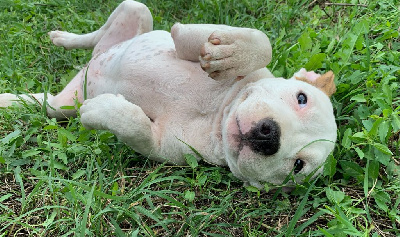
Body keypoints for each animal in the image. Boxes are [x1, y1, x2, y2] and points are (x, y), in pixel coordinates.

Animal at [0, 0, 338, 189]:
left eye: (297, 166)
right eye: (301, 98)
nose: (269, 135)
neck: (217, 113)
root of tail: (89, 67)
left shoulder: (162, 147)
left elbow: (136, 128)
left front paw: (101, 111)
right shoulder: (190, 42)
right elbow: (260, 42)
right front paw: (231, 53)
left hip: (62, 106)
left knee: (42, 103)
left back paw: (9, 99)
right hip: (134, 11)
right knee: (97, 34)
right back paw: (64, 38)